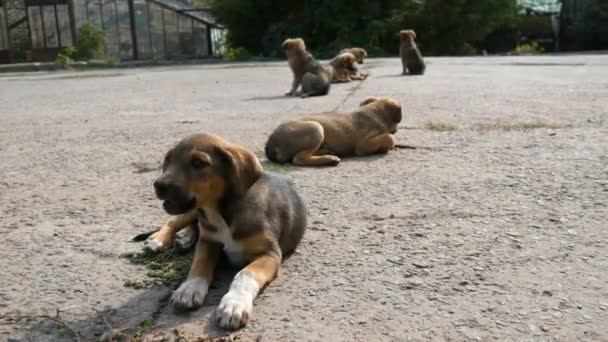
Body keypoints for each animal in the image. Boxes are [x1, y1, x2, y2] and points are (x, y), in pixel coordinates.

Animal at [148, 133, 308, 328]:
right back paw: (159, 240)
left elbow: (244, 273)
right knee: (175, 221)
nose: (158, 185)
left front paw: (234, 304)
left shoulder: (270, 254)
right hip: (192, 211)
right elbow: (199, 263)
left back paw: (183, 237)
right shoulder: (208, 241)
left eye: (198, 163)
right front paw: (189, 288)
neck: (220, 214)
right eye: (167, 160)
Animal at [264, 95, 402, 166]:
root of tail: (270, 144)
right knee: (298, 159)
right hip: (316, 128)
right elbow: (389, 137)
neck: (374, 111)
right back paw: (330, 159)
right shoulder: (363, 146)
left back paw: (327, 152)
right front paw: (386, 148)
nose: (396, 130)